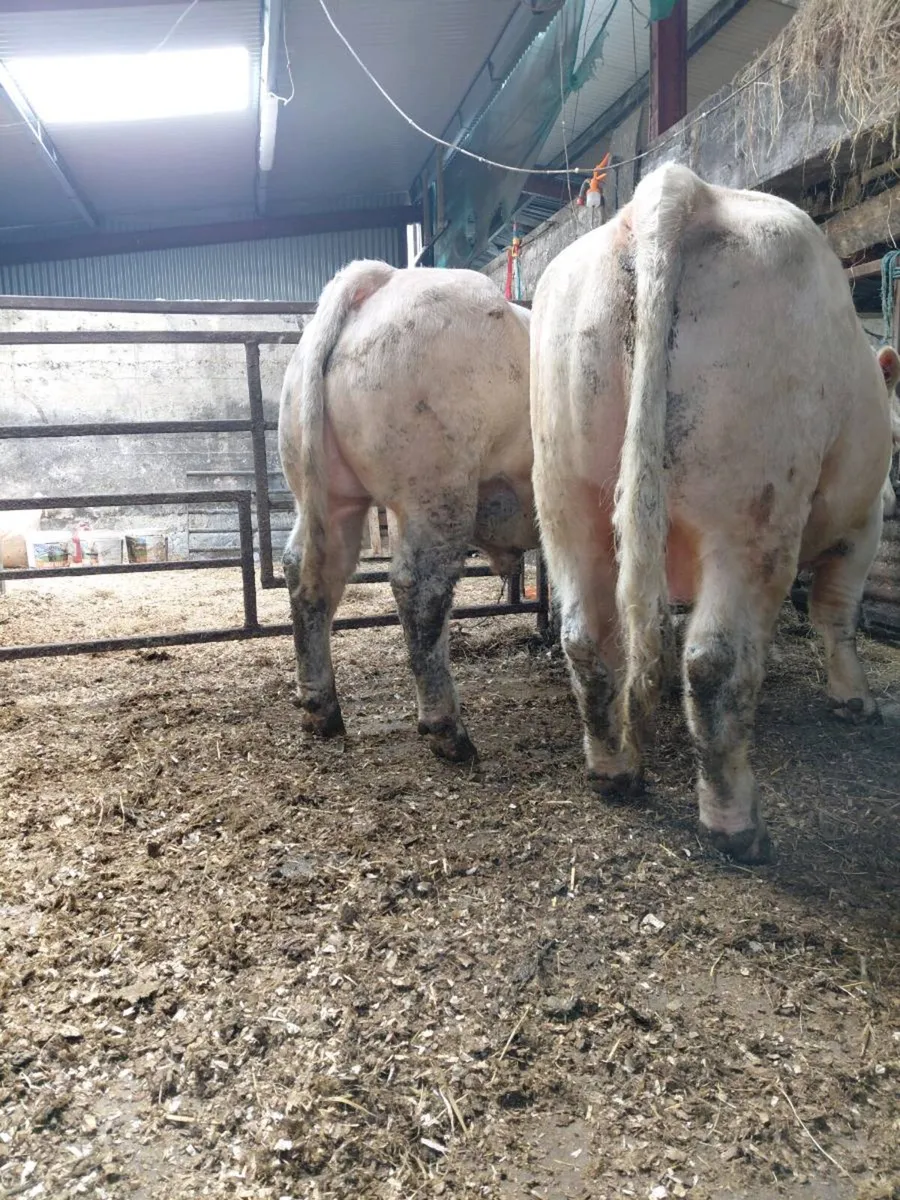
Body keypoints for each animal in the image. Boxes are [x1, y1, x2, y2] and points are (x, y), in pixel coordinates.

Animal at [278, 260, 537, 764]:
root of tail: (384, 281)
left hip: (325, 492)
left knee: (308, 570)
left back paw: (322, 714)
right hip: (437, 486)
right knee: (421, 588)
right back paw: (450, 735)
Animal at [530, 162, 900, 864]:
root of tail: (676, 190)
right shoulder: (860, 526)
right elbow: (836, 613)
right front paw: (855, 699)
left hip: (567, 494)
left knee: (588, 635)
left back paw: (615, 771)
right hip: (753, 501)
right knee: (715, 660)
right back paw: (737, 825)